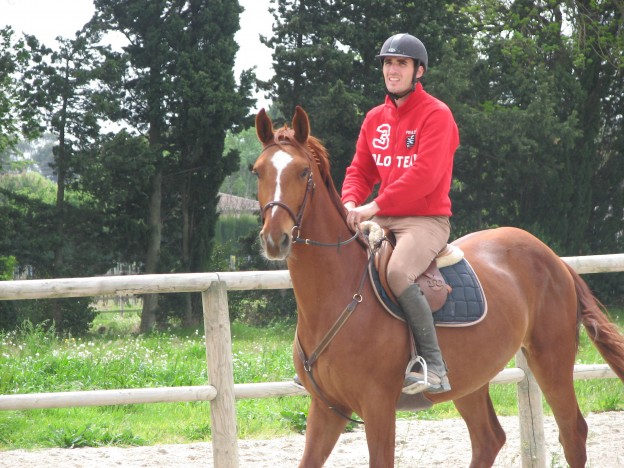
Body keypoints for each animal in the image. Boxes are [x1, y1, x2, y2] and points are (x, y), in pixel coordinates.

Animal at [252, 107, 624, 468]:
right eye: (257, 172)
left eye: (303, 172)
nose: (275, 239)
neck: (338, 296)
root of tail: (553, 258)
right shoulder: (326, 408)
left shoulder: (378, 407)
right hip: (472, 376)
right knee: (489, 439)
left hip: (551, 359)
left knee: (572, 432)